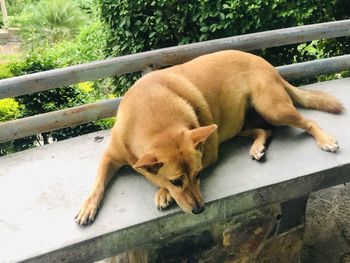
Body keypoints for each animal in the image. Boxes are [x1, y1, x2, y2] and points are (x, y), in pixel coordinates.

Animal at [75, 50, 344, 226]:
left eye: (199, 174)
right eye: (177, 181)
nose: (199, 209)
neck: (152, 115)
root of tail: (269, 66)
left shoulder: (210, 151)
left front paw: (161, 192)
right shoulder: (110, 156)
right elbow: (98, 183)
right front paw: (87, 206)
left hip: (273, 108)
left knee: (306, 122)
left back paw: (325, 140)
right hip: (241, 124)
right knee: (265, 130)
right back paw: (257, 147)